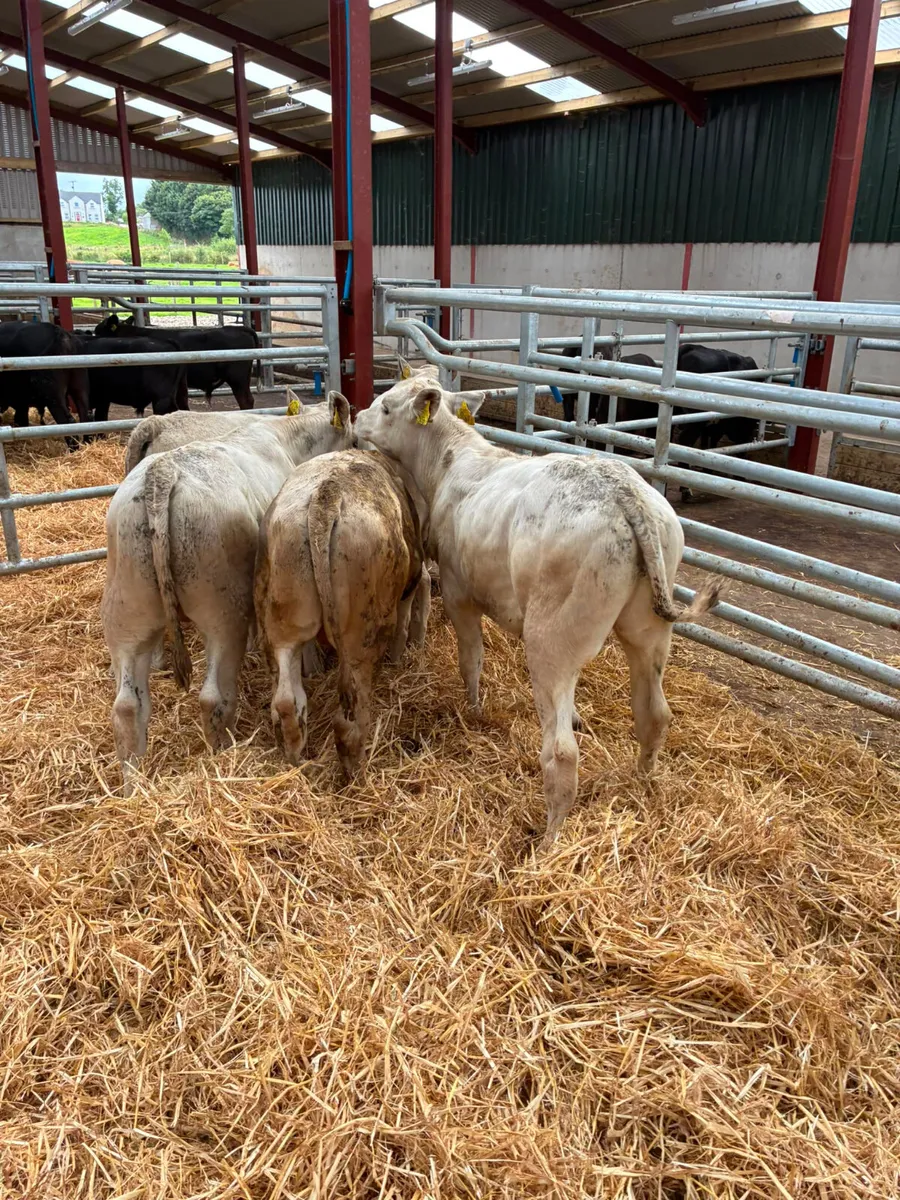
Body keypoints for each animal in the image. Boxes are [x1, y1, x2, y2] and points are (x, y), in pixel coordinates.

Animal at [102, 392, 353, 793]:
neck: (289, 442)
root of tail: (163, 475)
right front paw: (312, 666)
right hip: (221, 612)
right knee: (212, 696)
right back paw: (224, 751)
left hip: (127, 613)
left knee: (128, 707)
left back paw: (133, 786)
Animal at [255, 449, 429, 776]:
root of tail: (327, 495)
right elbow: (404, 621)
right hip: (362, 637)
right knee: (350, 719)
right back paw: (354, 771)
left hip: (282, 622)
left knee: (286, 701)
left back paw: (298, 758)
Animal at [354, 373, 721, 845]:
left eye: (385, 407)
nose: (357, 418)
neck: (451, 462)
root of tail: (625, 493)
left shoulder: (457, 591)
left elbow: (471, 659)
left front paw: (475, 710)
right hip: (648, 630)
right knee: (653, 714)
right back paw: (642, 783)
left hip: (550, 638)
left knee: (561, 753)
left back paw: (549, 841)